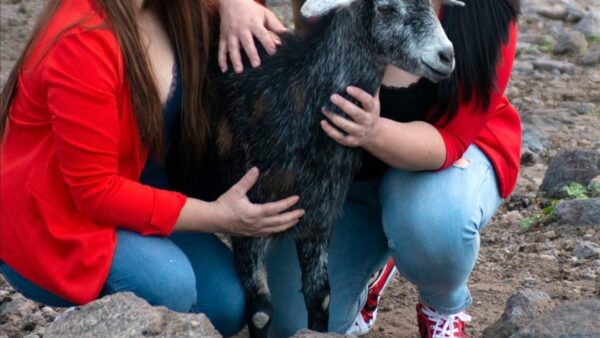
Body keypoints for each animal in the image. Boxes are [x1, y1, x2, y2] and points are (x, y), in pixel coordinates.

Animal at [209, 0, 462, 336]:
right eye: (386, 9)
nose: (446, 55)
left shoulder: (319, 217)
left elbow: (321, 297)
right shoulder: (246, 216)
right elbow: (261, 311)